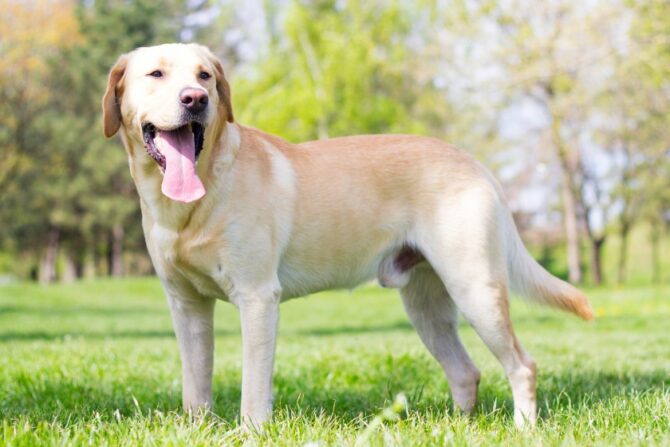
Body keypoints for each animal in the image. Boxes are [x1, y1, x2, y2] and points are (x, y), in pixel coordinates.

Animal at [100, 43, 592, 430]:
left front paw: (250, 431)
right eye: (156, 74)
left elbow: (253, 385)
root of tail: (473, 163)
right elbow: (195, 383)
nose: (196, 99)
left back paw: (523, 428)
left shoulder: (257, 298)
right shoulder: (187, 305)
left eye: (205, 75)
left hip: (476, 288)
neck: (192, 204)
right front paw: (198, 427)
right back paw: (460, 427)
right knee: (465, 371)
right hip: (426, 307)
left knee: (523, 366)